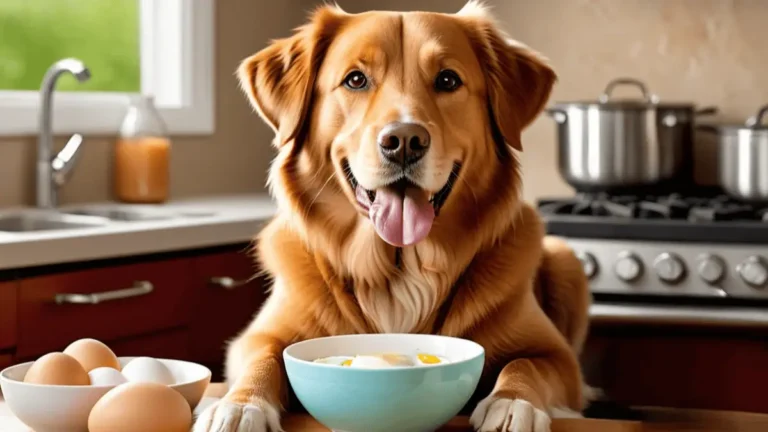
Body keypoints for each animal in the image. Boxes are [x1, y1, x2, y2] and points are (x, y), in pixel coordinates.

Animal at [195, 1, 592, 430]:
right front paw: (240, 405)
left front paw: (513, 403)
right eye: (355, 79)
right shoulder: (257, 337)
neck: (398, 268)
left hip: (566, 261)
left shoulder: (558, 357)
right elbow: (264, 358)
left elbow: (524, 365)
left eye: (448, 79)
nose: (404, 141)